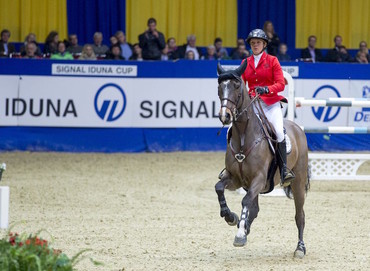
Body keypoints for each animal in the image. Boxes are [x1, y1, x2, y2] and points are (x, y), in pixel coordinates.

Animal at [215, 61, 310, 260]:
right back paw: (245, 226)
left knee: (300, 215)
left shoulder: (258, 178)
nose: (225, 116)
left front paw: (240, 234)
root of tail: (297, 128)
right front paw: (231, 217)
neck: (244, 136)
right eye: (219, 87)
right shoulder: (235, 179)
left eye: (236, 86)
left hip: (297, 182)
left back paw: (300, 248)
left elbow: (245, 202)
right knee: (255, 208)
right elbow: (219, 188)